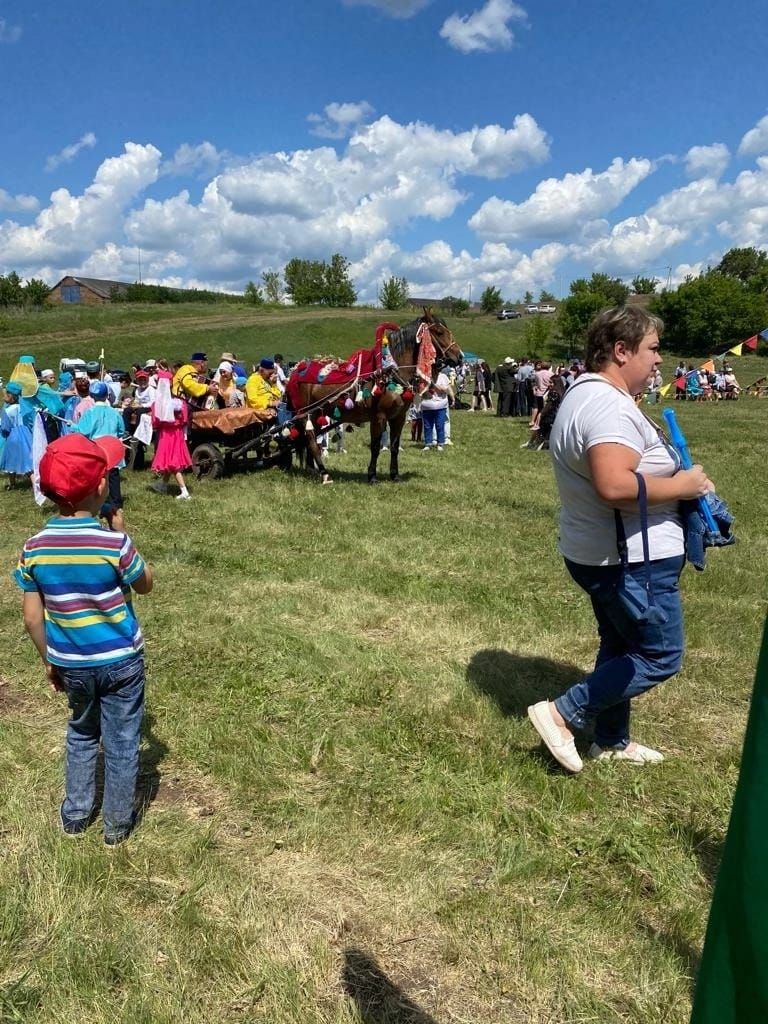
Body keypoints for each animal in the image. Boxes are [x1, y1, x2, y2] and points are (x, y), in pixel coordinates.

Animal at [284, 307, 460, 483]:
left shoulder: (398, 417)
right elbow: (375, 447)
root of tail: (296, 370)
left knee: (309, 441)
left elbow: (394, 446)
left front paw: (394, 475)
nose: (459, 357)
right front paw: (372, 475)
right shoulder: (378, 416)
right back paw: (324, 473)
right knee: (311, 441)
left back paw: (312, 469)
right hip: (306, 414)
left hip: (315, 415)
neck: (391, 372)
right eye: (439, 332)